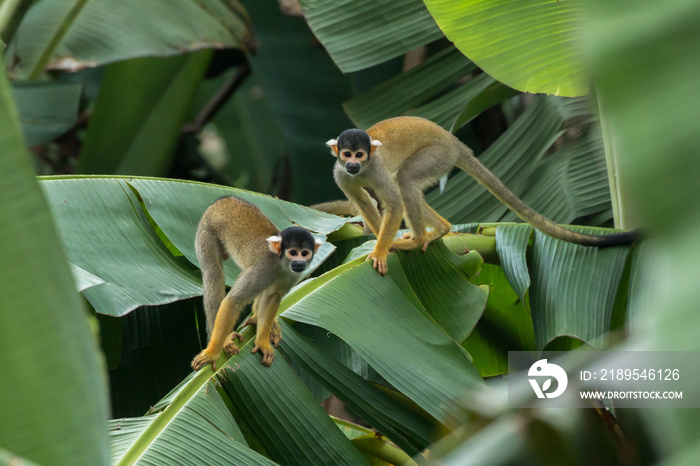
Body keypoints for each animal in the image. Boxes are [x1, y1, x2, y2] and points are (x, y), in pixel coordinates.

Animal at [191, 197, 322, 372]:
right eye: (293, 253)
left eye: (305, 253)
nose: (300, 263)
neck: (280, 263)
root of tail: (224, 199)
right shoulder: (264, 269)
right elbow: (234, 300)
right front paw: (212, 353)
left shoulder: (293, 275)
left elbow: (272, 296)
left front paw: (262, 341)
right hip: (206, 230)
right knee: (213, 272)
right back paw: (223, 339)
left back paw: (259, 318)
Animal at [326, 116, 636, 274]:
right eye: (347, 154)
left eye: (360, 154)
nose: (353, 164)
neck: (363, 169)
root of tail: (455, 143)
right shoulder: (339, 174)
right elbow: (364, 201)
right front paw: (382, 242)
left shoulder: (376, 168)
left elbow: (392, 202)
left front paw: (381, 249)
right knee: (403, 182)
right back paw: (440, 230)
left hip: (438, 155)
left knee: (405, 181)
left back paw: (418, 239)